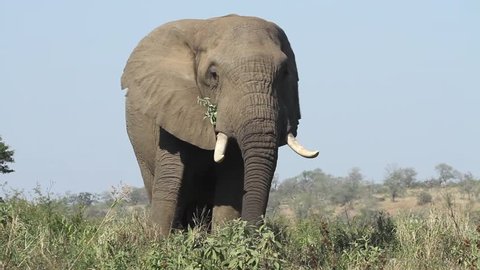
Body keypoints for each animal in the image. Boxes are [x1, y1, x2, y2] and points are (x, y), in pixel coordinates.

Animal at [122, 14, 318, 234]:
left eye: (285, 73)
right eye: (213, 75)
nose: (255, 231)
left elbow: (231, 184)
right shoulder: (171, 107)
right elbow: (170, 179)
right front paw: (161, 240)